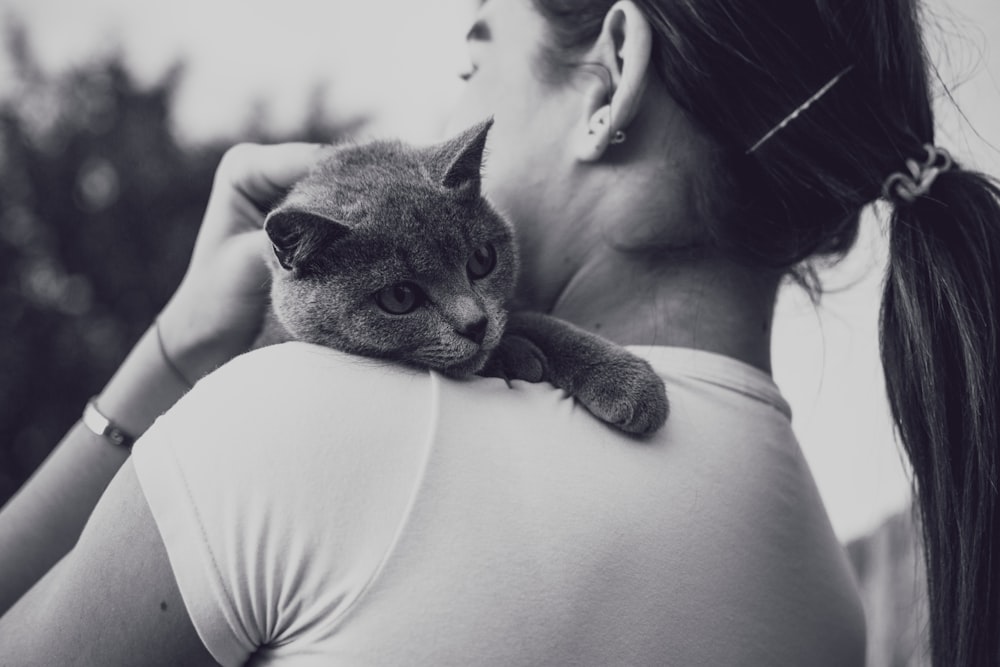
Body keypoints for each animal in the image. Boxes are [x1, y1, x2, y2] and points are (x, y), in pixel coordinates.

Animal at [254, 118, 668, 438]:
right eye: (399, 297)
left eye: (482, 260)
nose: (476, 324)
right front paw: (520, 356)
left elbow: (537, 320)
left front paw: (627, 380)